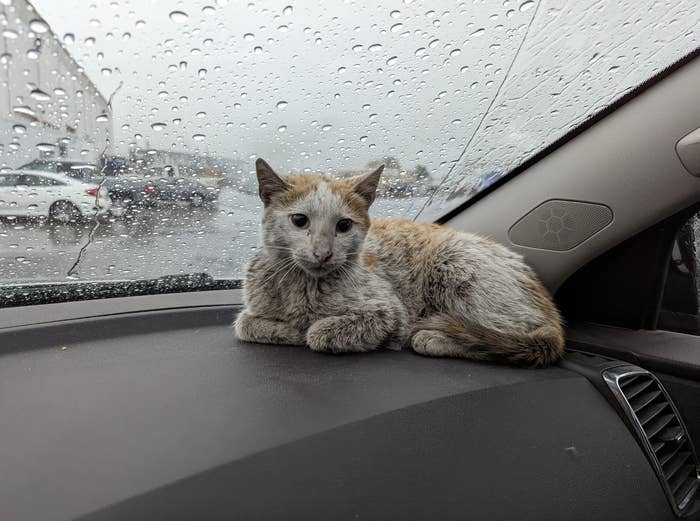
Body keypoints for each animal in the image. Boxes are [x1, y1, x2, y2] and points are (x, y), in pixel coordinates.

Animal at [234, 158, 564, 366]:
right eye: (299, 220)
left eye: (344, 226)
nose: (323, 253)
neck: (302, 285)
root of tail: (553, 316)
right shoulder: (252, 309)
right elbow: (245, 323)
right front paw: (288, 329)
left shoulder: (389, 313)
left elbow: (318, 333)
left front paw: (305, 330)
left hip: (453, 264)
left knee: (501, 339)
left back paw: (433, 338)